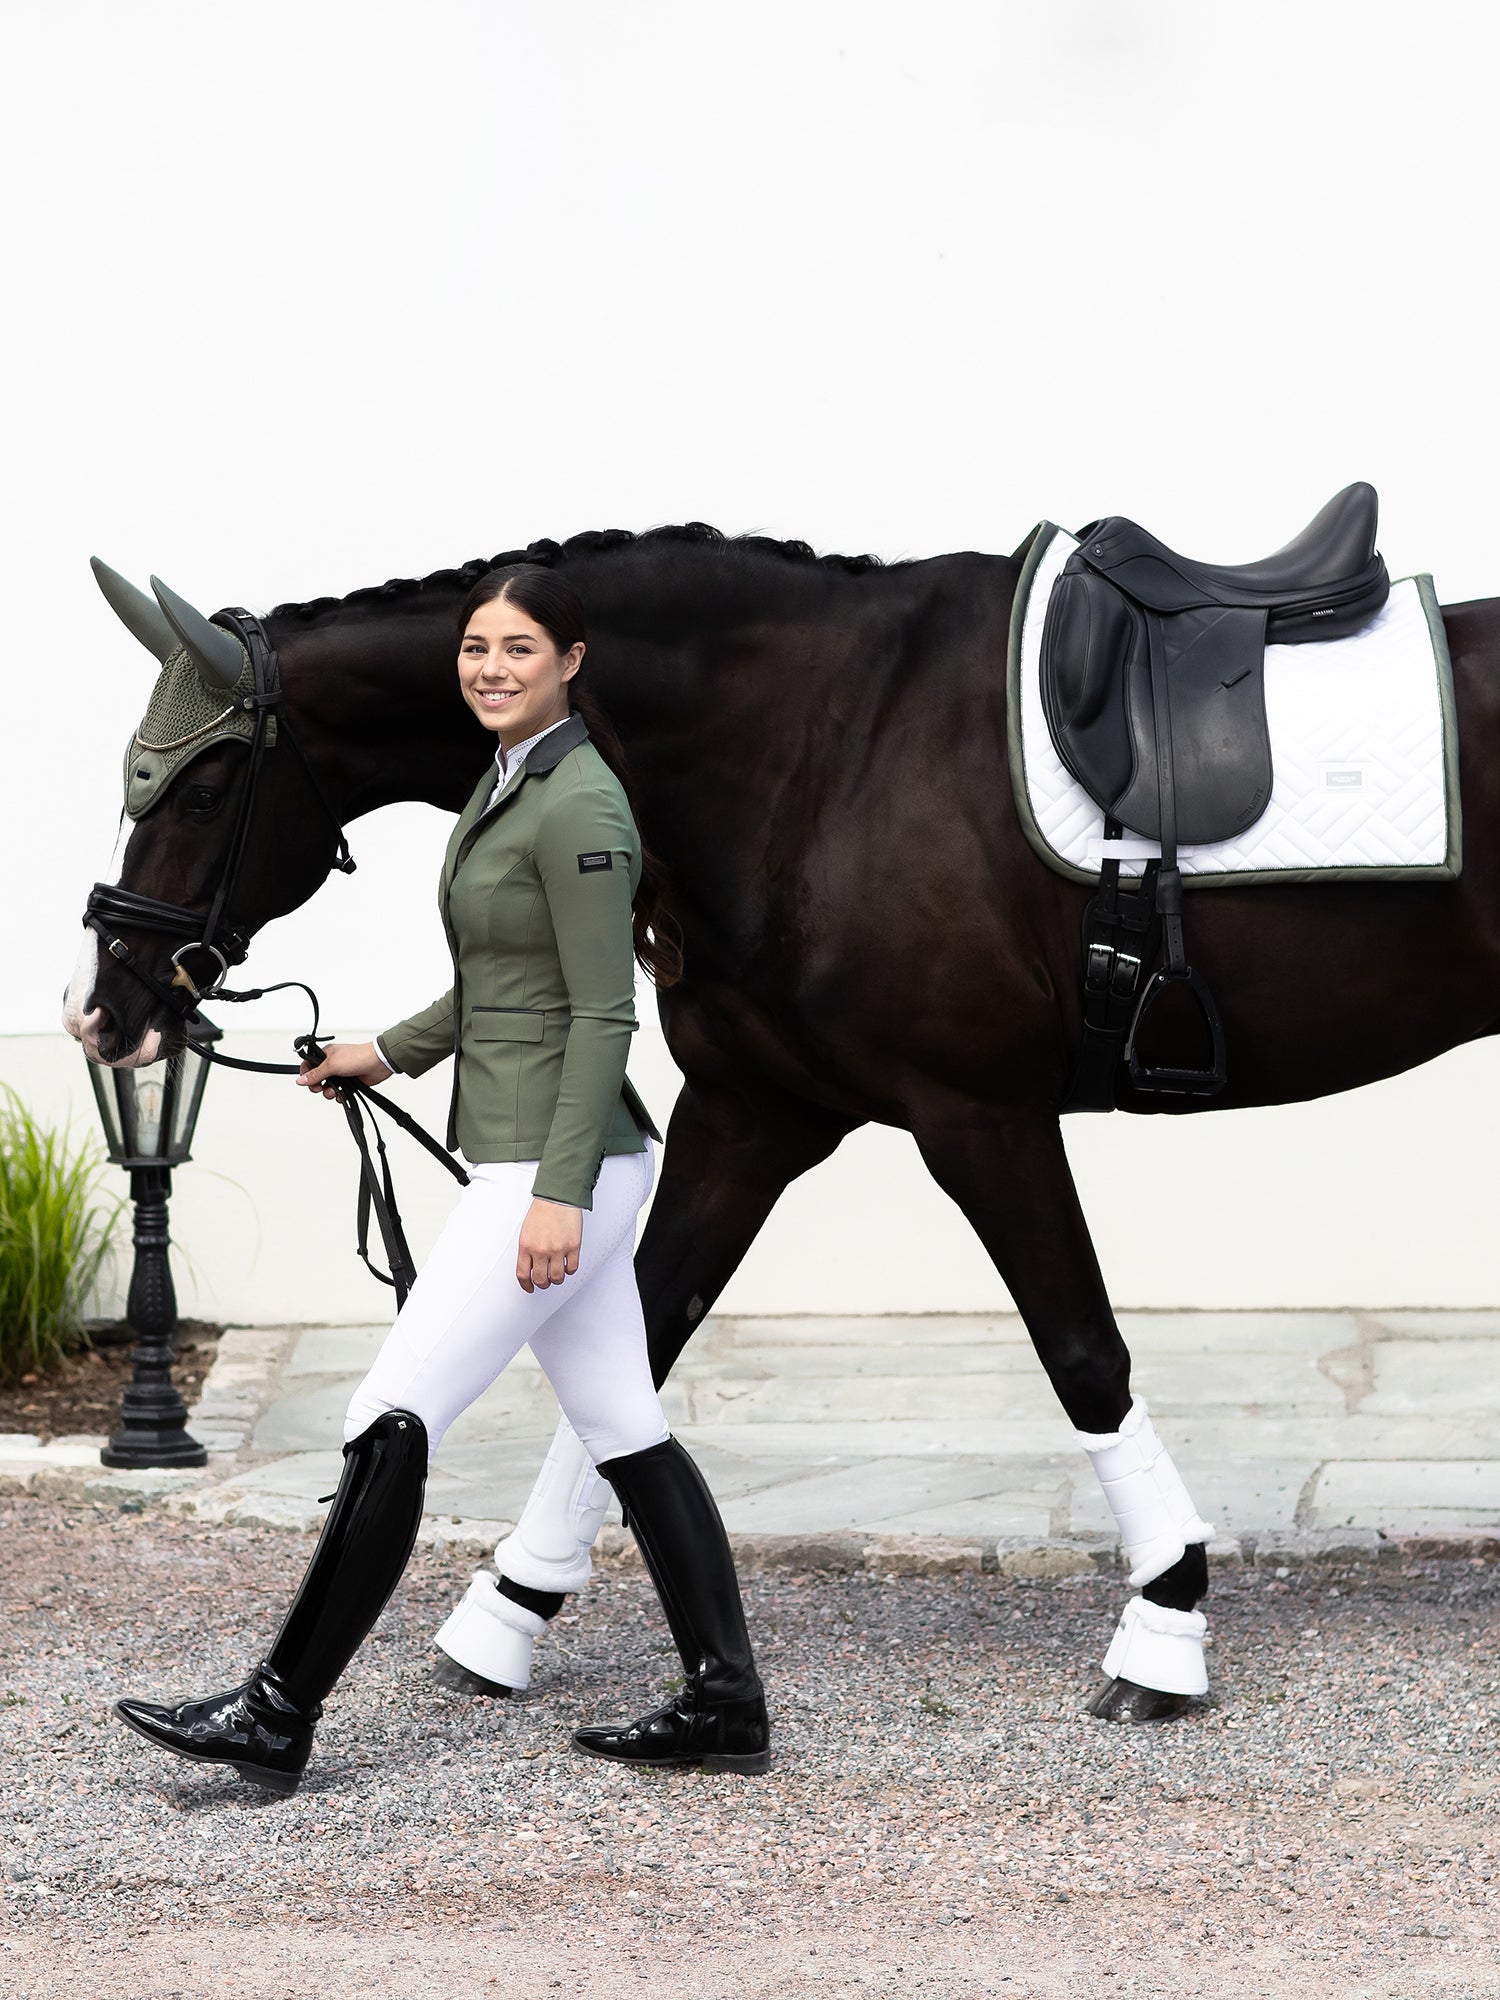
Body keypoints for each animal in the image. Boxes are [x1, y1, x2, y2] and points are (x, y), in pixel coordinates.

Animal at [67, 528, 1500, 1720]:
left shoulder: (981, 1116)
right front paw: (509, 1609)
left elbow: (1083, 1352)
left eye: (202, 790)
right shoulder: (755, 1110)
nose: (106, 1007)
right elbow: (639, 1341)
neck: (821, 747)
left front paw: (1164, 1623)